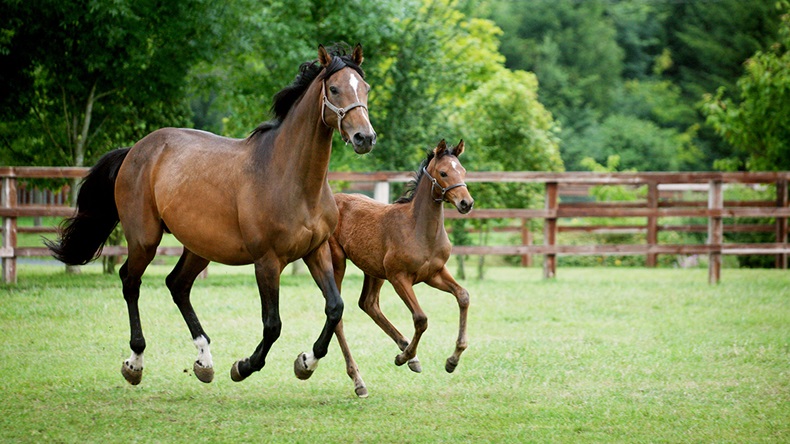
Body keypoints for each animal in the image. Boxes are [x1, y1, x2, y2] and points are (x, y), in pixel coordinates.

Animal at [45, 43, 377, 389]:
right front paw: (244, 366)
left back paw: (204, 361)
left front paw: (306, 363)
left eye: (366, 88)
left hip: (199, 247)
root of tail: (135, 150)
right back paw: (135, 362)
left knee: (177, 284)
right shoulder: (267, 261)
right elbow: (272, 324)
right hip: (144, 240)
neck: (290, 178)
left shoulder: (316, 250)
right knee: (130, 281)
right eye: (334, 88)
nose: (364, 138)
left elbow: (335, 307)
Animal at [328, 139, 473, 397]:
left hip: (373, 270)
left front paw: (452, 360)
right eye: (443, 172)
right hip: (338, 262)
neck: (418, 229)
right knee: (339, 315)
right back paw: (360, 381)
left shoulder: (435, 273)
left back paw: (406, 351)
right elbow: (421, 318)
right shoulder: (399, 278)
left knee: (368, 304)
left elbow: (463, 296)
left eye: (463, 171)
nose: (466, 203)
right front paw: (403, 357)